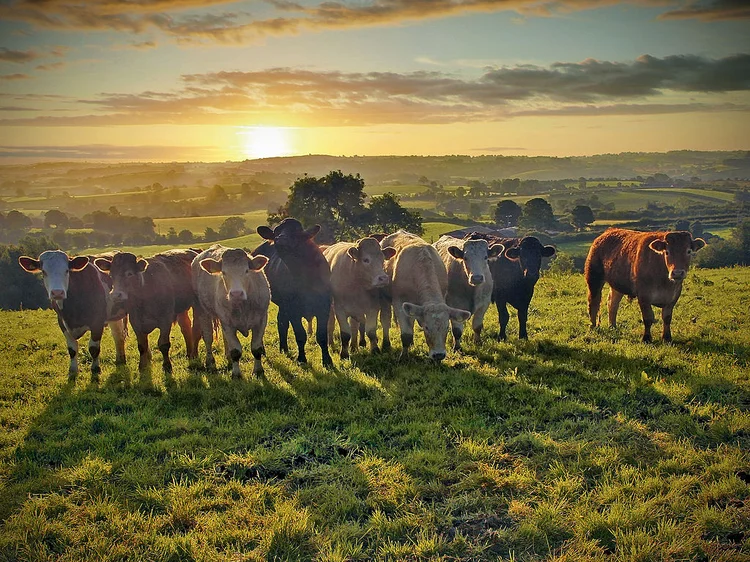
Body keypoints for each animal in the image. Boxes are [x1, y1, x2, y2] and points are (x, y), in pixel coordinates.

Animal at [192, 244, 272, 376]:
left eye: (247, 271)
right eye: (224, 272)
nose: (236, 294)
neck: (243, 307)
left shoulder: (261, 321)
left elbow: (256, 349)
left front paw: (258, 370)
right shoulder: (228, 324)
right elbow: (235, 351)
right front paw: (236, 374)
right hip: (202, 311)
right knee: (208, 338)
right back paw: (210, 362)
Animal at [254, 219, 334, 368]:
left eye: (297, 232)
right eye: (276, 232)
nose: (280, 239)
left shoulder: (324, 307)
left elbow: (321, 336)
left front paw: (327, 361)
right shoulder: (293, 310)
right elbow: (300, 335)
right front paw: (302, 358)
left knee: (281, 321)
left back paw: (283, 348)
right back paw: (263, 350)